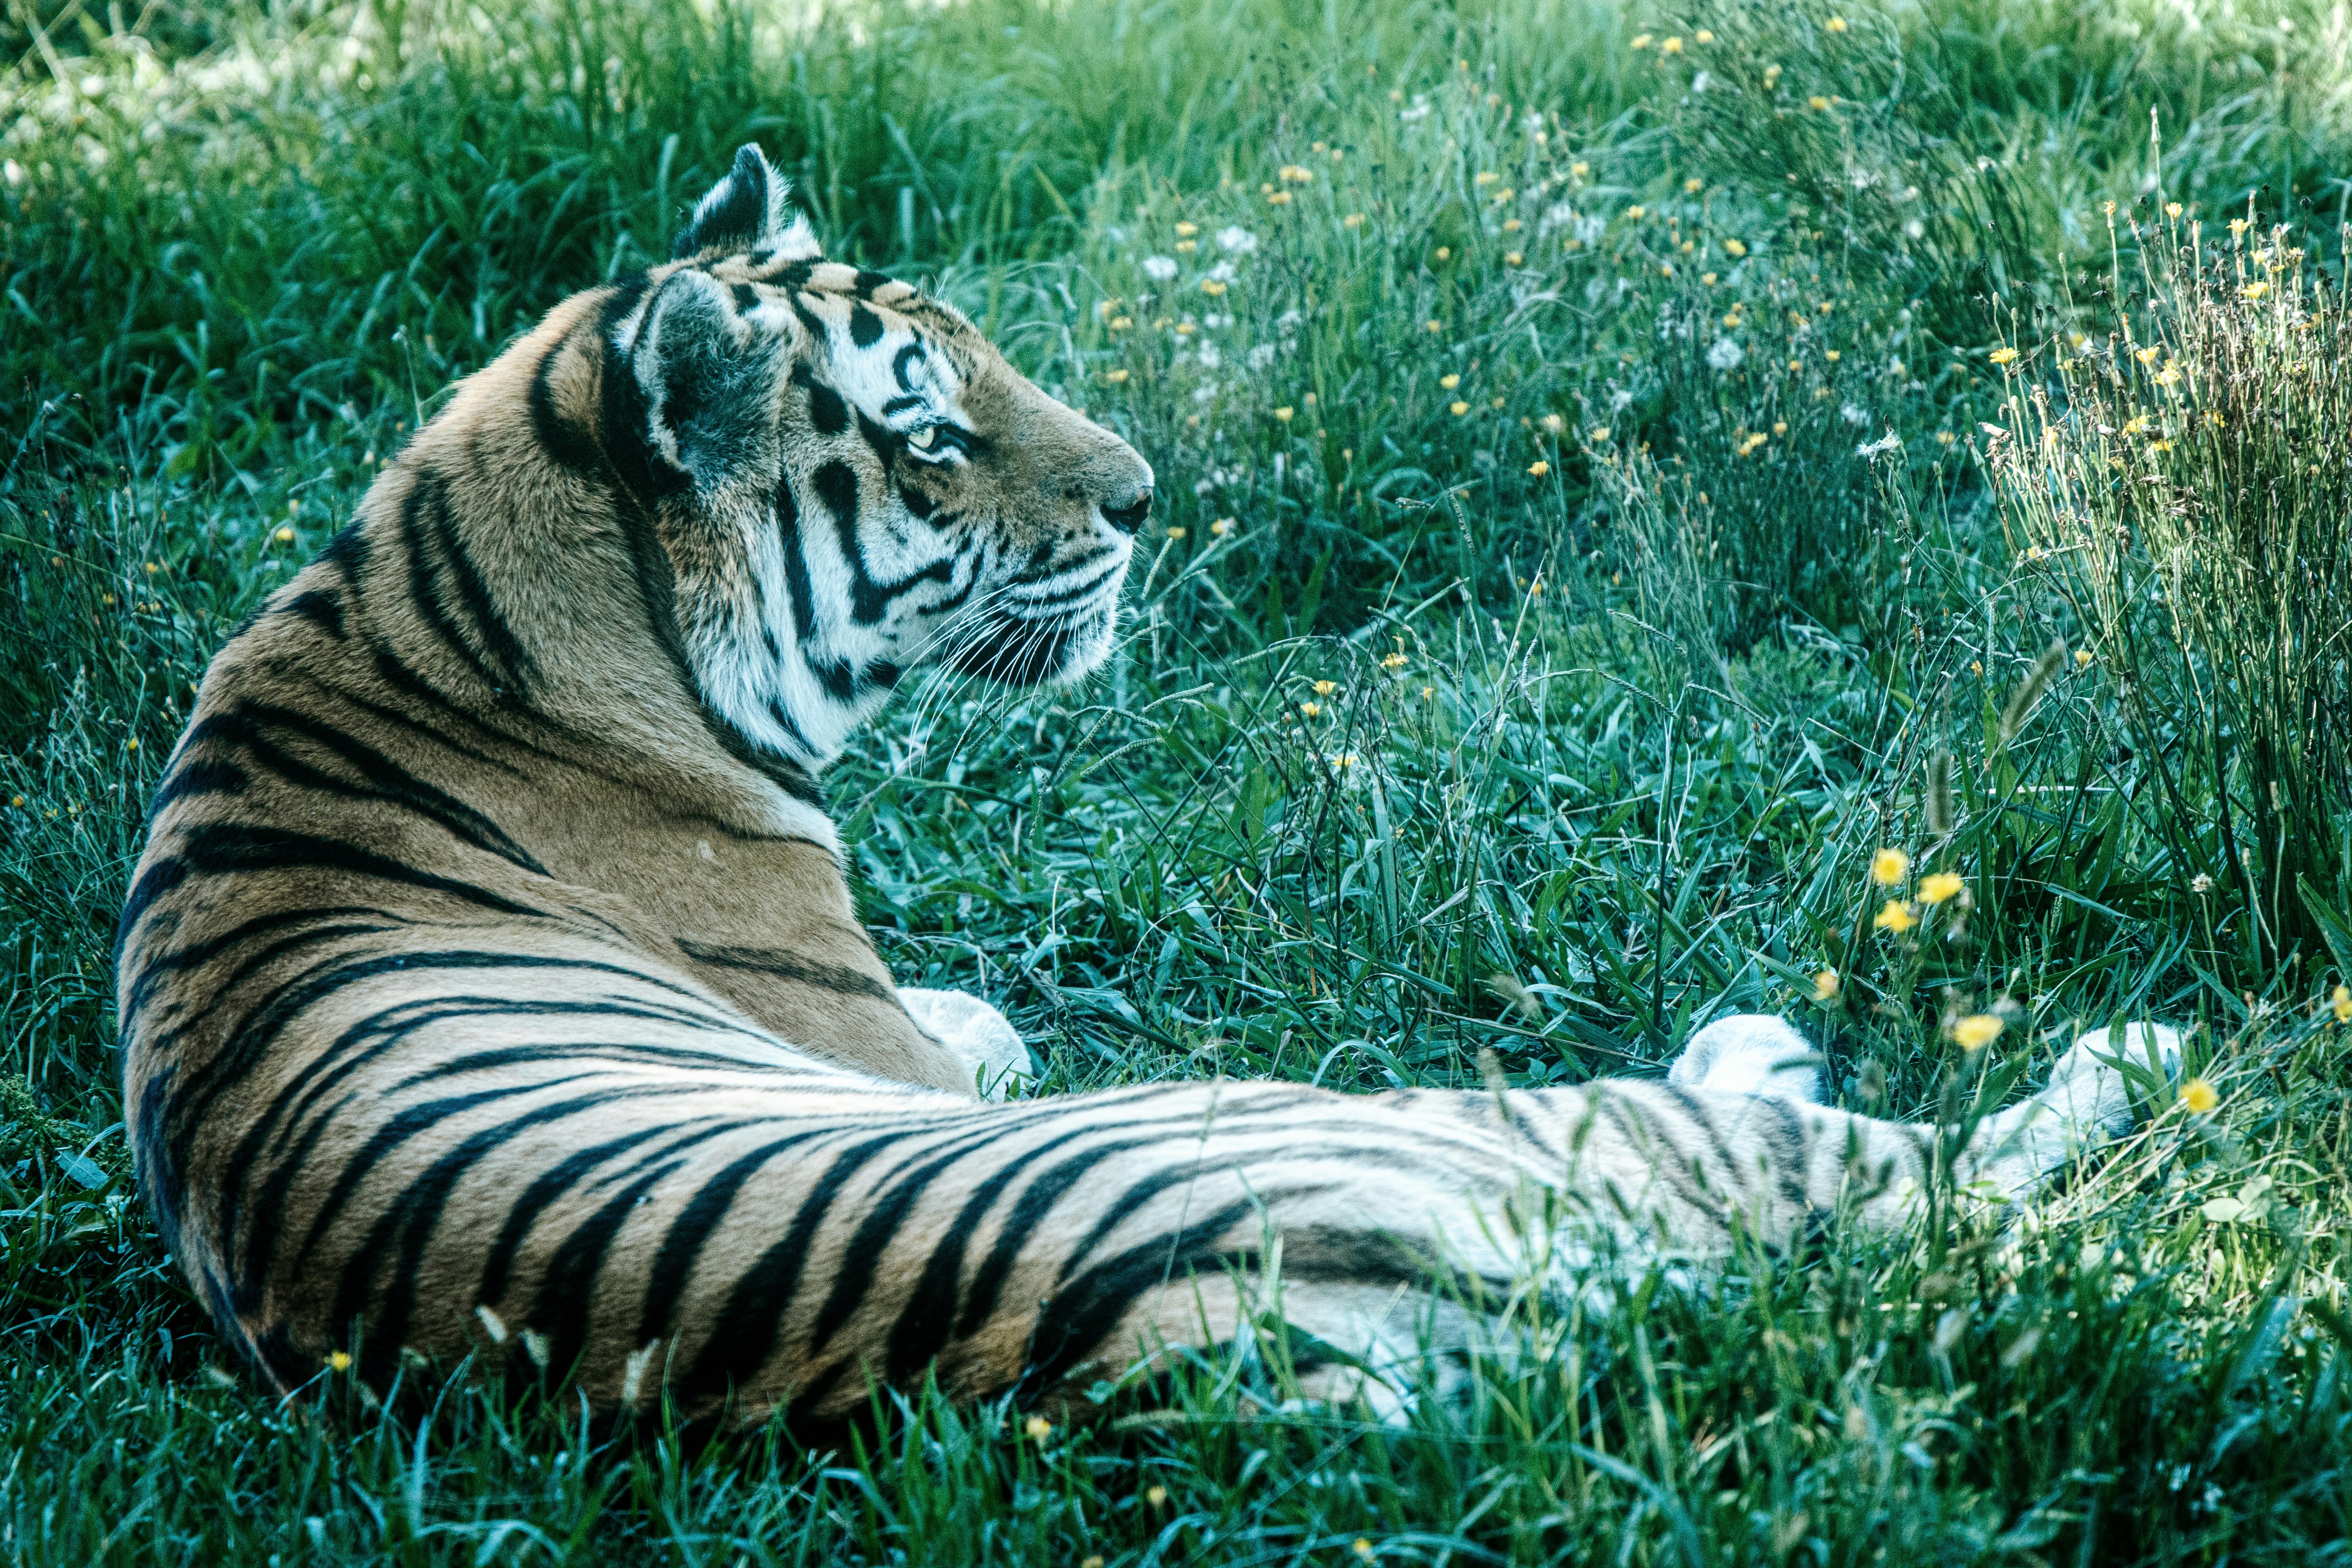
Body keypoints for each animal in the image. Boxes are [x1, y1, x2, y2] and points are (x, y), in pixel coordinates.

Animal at [115, 144, 2177, 1424]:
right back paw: (2053, 1048)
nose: (1143, 497)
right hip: (1436, 1123)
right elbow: (978, 1032)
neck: (448, 615)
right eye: (931, 435)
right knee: (1935, 1175)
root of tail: (1191, 1352)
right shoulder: (874, 1035)